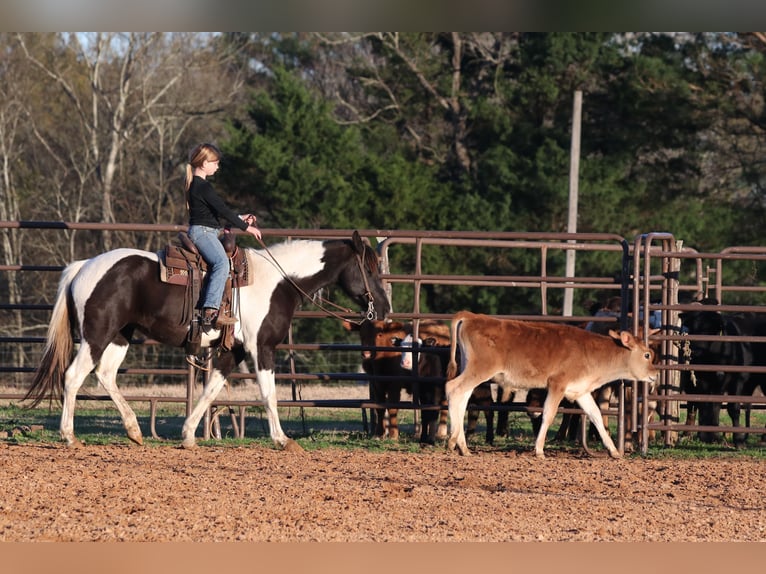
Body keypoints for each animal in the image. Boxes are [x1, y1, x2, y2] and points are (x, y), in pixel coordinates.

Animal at [25, 232, 390, 452]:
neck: (279, 281)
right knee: (73, 377)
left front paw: (188, 436)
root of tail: (83, 266)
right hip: (96, 336)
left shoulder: (233, 351)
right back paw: (69, 436)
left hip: (119, 336)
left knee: (105, 375)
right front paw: (282, 439)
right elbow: (268, 393)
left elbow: (211, 390)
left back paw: (134, 431)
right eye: (370, 270)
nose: (385, 309)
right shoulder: (261, 348)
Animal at [444, 312, 660, 462]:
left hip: (471, 369)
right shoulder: (557, 384)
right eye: (647, 354)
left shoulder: (580, 391)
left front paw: (614, 450)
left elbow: (596, 415)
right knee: (454, 389)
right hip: (480, 369)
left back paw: (463, 446)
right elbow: (548, 414)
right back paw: (453, 440)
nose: (655, 374)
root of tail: (473, 316)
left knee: (463, 397)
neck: (590, 352)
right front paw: (539, 450)